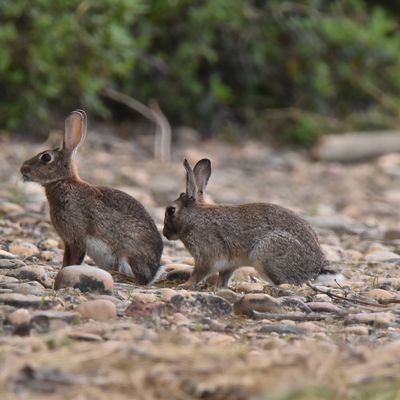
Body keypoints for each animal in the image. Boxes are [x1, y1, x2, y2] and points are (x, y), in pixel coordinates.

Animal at [20, 109, 162, 284]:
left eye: (46, 158)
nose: (23, 168)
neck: (63, 181)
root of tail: (154, 272)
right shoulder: (68, 242)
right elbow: (66, 260)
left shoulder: (77, 239)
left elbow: (74, 260)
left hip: (128, 254)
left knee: (139, 279)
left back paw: (118, 276)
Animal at [162, 158, 328, 290]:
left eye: (171, 210)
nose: (165, 234)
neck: (193, 218)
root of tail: (314, 269)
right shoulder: (228, 265)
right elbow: (223, 277)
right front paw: (219, 287)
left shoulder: (206, 255)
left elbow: (198, 273)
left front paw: (184, 285)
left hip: (267, 255)